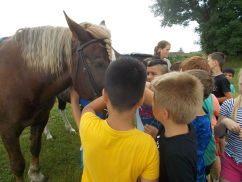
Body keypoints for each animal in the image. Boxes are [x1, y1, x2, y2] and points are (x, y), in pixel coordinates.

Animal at [0, 11, 114, 182]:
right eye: (99, 63)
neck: (22, 79)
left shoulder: (40, 119)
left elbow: (35, 147)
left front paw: (35, 173)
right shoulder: (8, 131)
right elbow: (17, 165)